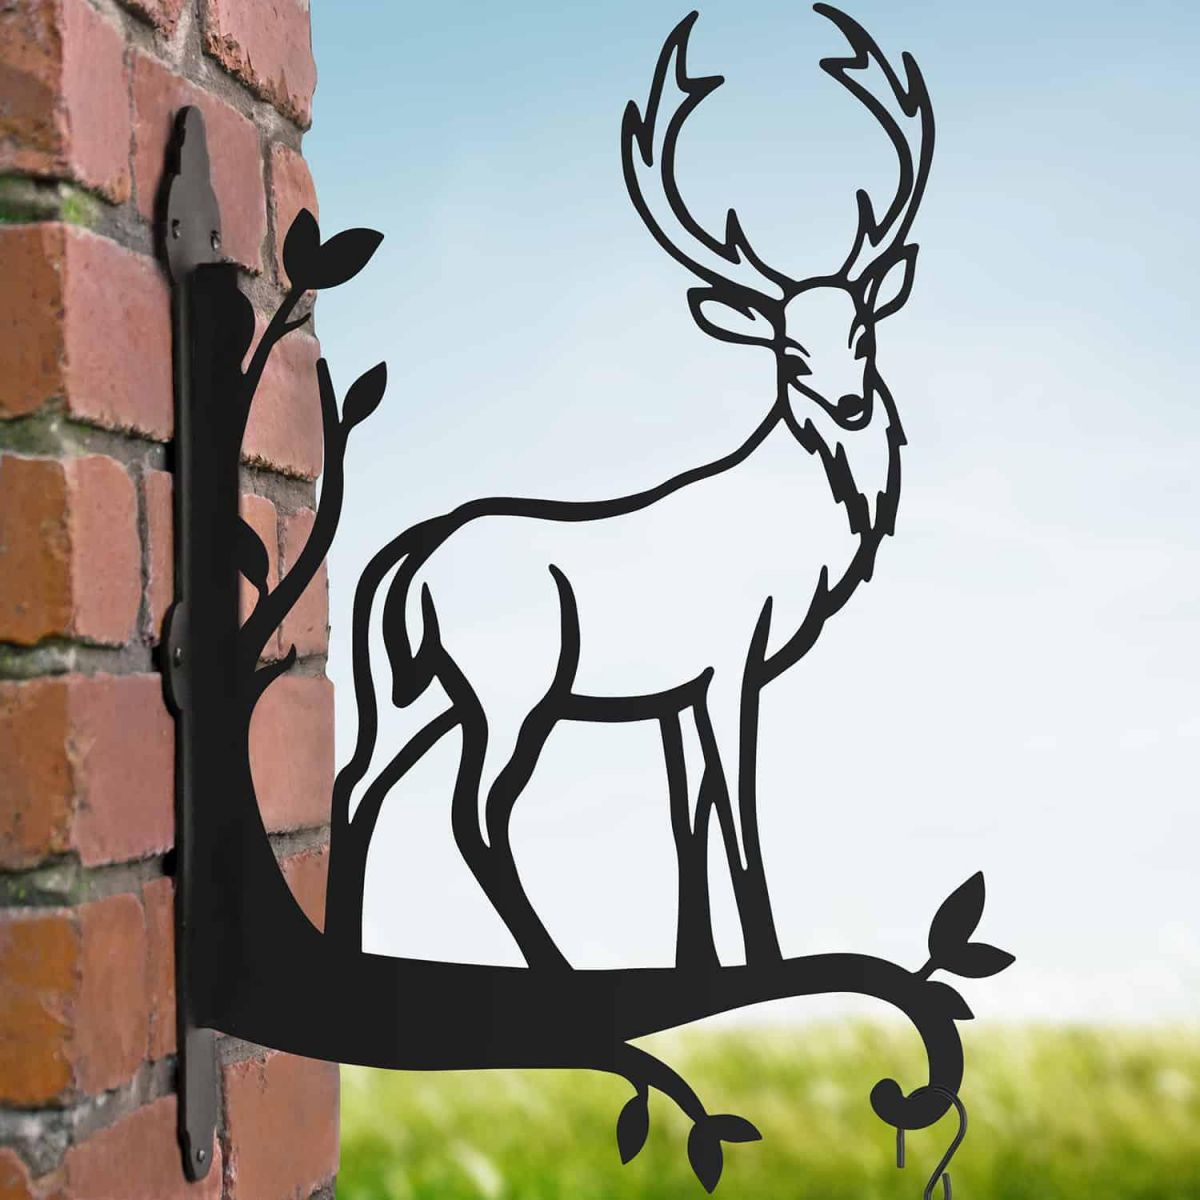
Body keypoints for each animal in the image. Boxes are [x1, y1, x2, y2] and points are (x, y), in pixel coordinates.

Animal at [330, 4, 934, 973]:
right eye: (788, 351)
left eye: (864, 332)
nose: (848, 403)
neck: (805, 547)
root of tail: (404, 563)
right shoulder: (735, 658)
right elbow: (738, 813)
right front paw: (767, 961)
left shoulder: (675, 692)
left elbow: (689, 816)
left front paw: (699, 962)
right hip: (514, 685)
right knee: (475, 812)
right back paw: (553, 962)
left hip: (410, 688)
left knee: (358, 783)